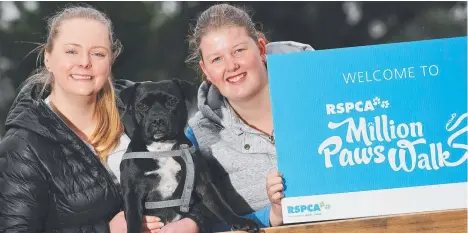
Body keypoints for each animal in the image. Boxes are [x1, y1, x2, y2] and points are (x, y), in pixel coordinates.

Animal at [118, 79, 260, 232]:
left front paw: (240, 220)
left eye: (172, 101)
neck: (163, 148)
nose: (157, 120)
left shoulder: (202, 181)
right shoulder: (132, 191)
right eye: (142, 105)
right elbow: (133, 218)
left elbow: (219, 204)